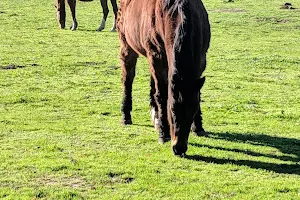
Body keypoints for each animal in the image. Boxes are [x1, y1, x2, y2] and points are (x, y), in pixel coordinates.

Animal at [117, 0, 211, 156]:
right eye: (171, 110)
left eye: (192, 110)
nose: (179, 148)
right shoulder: (157, 55)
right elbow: (162, 95)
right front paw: (163, 134)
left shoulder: (201, 59)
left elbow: (196, 93)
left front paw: (198, 127)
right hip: (127, 45)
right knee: (128, 80)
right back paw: (126, 116)